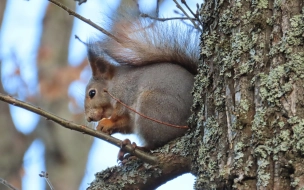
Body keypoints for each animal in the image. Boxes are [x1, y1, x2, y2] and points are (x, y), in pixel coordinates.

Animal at [84, 5, 201, 158]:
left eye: (92, 93)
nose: (88, 118)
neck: (115, 82)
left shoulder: (124, 95)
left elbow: (118, 113)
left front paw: (107, 122)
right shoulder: (128, 118)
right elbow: (125, 123)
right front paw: (105, 127)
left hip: (152, 108)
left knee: (157, 142)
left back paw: (138, 148)